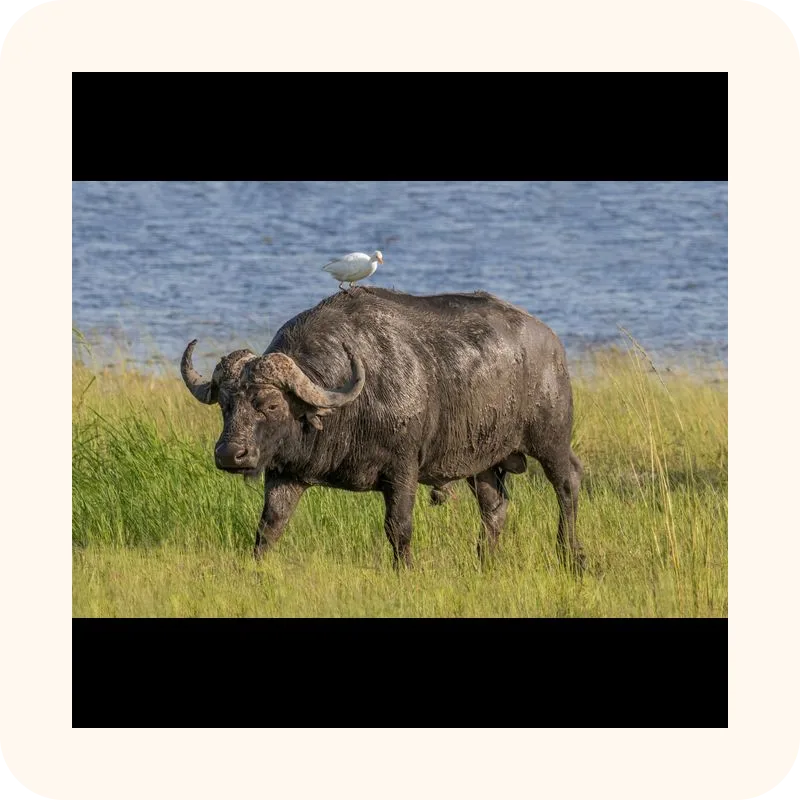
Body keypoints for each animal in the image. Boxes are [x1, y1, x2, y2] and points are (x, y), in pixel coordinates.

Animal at [181, 287, 586, 571]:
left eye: (270, 404)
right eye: (226, 404)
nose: (230, 455)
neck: (349, 407)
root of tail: (551, 341)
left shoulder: (403, 469)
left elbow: (398, 526)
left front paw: (404, 569)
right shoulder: (286, 473)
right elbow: (270, 525)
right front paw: (257, 566)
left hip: (551, 440)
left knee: (568, 486)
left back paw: (572, 556)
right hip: (482, 462)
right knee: (495, 507)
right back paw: (484, 561)